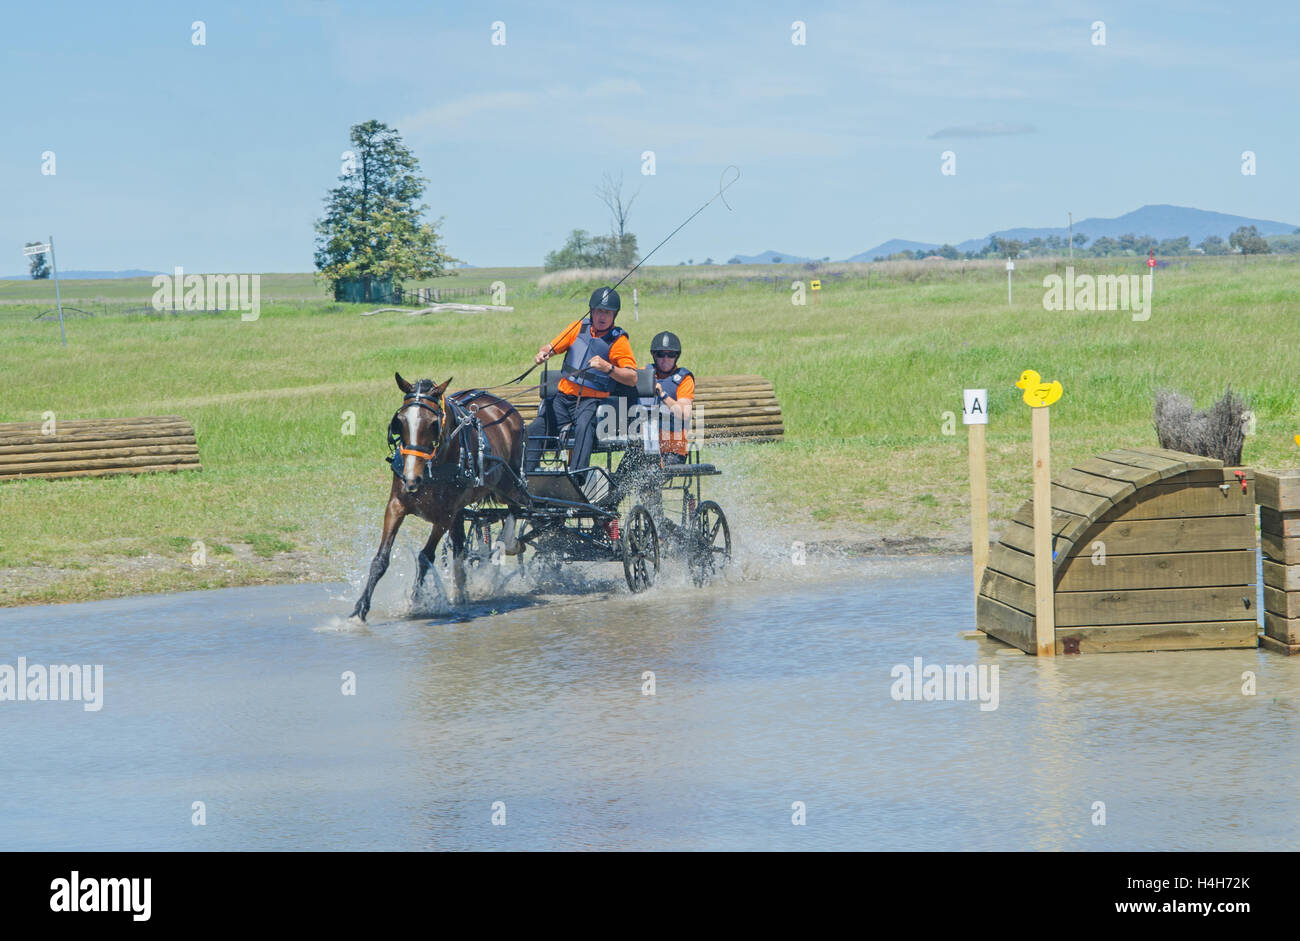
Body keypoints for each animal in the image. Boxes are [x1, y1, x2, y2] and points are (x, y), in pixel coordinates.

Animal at [351, 371, 527, 621]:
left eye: (433, 424)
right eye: (399, 421)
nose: (411, 479)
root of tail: (505, 406)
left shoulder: (444, 516)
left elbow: (425, 557)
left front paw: (416, 600)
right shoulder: (396, 506)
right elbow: (380, 559)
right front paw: (360, 609)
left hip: (508, 483)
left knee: (519, 506)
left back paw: (509, 542)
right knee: (461, 547)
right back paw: (460, 592)